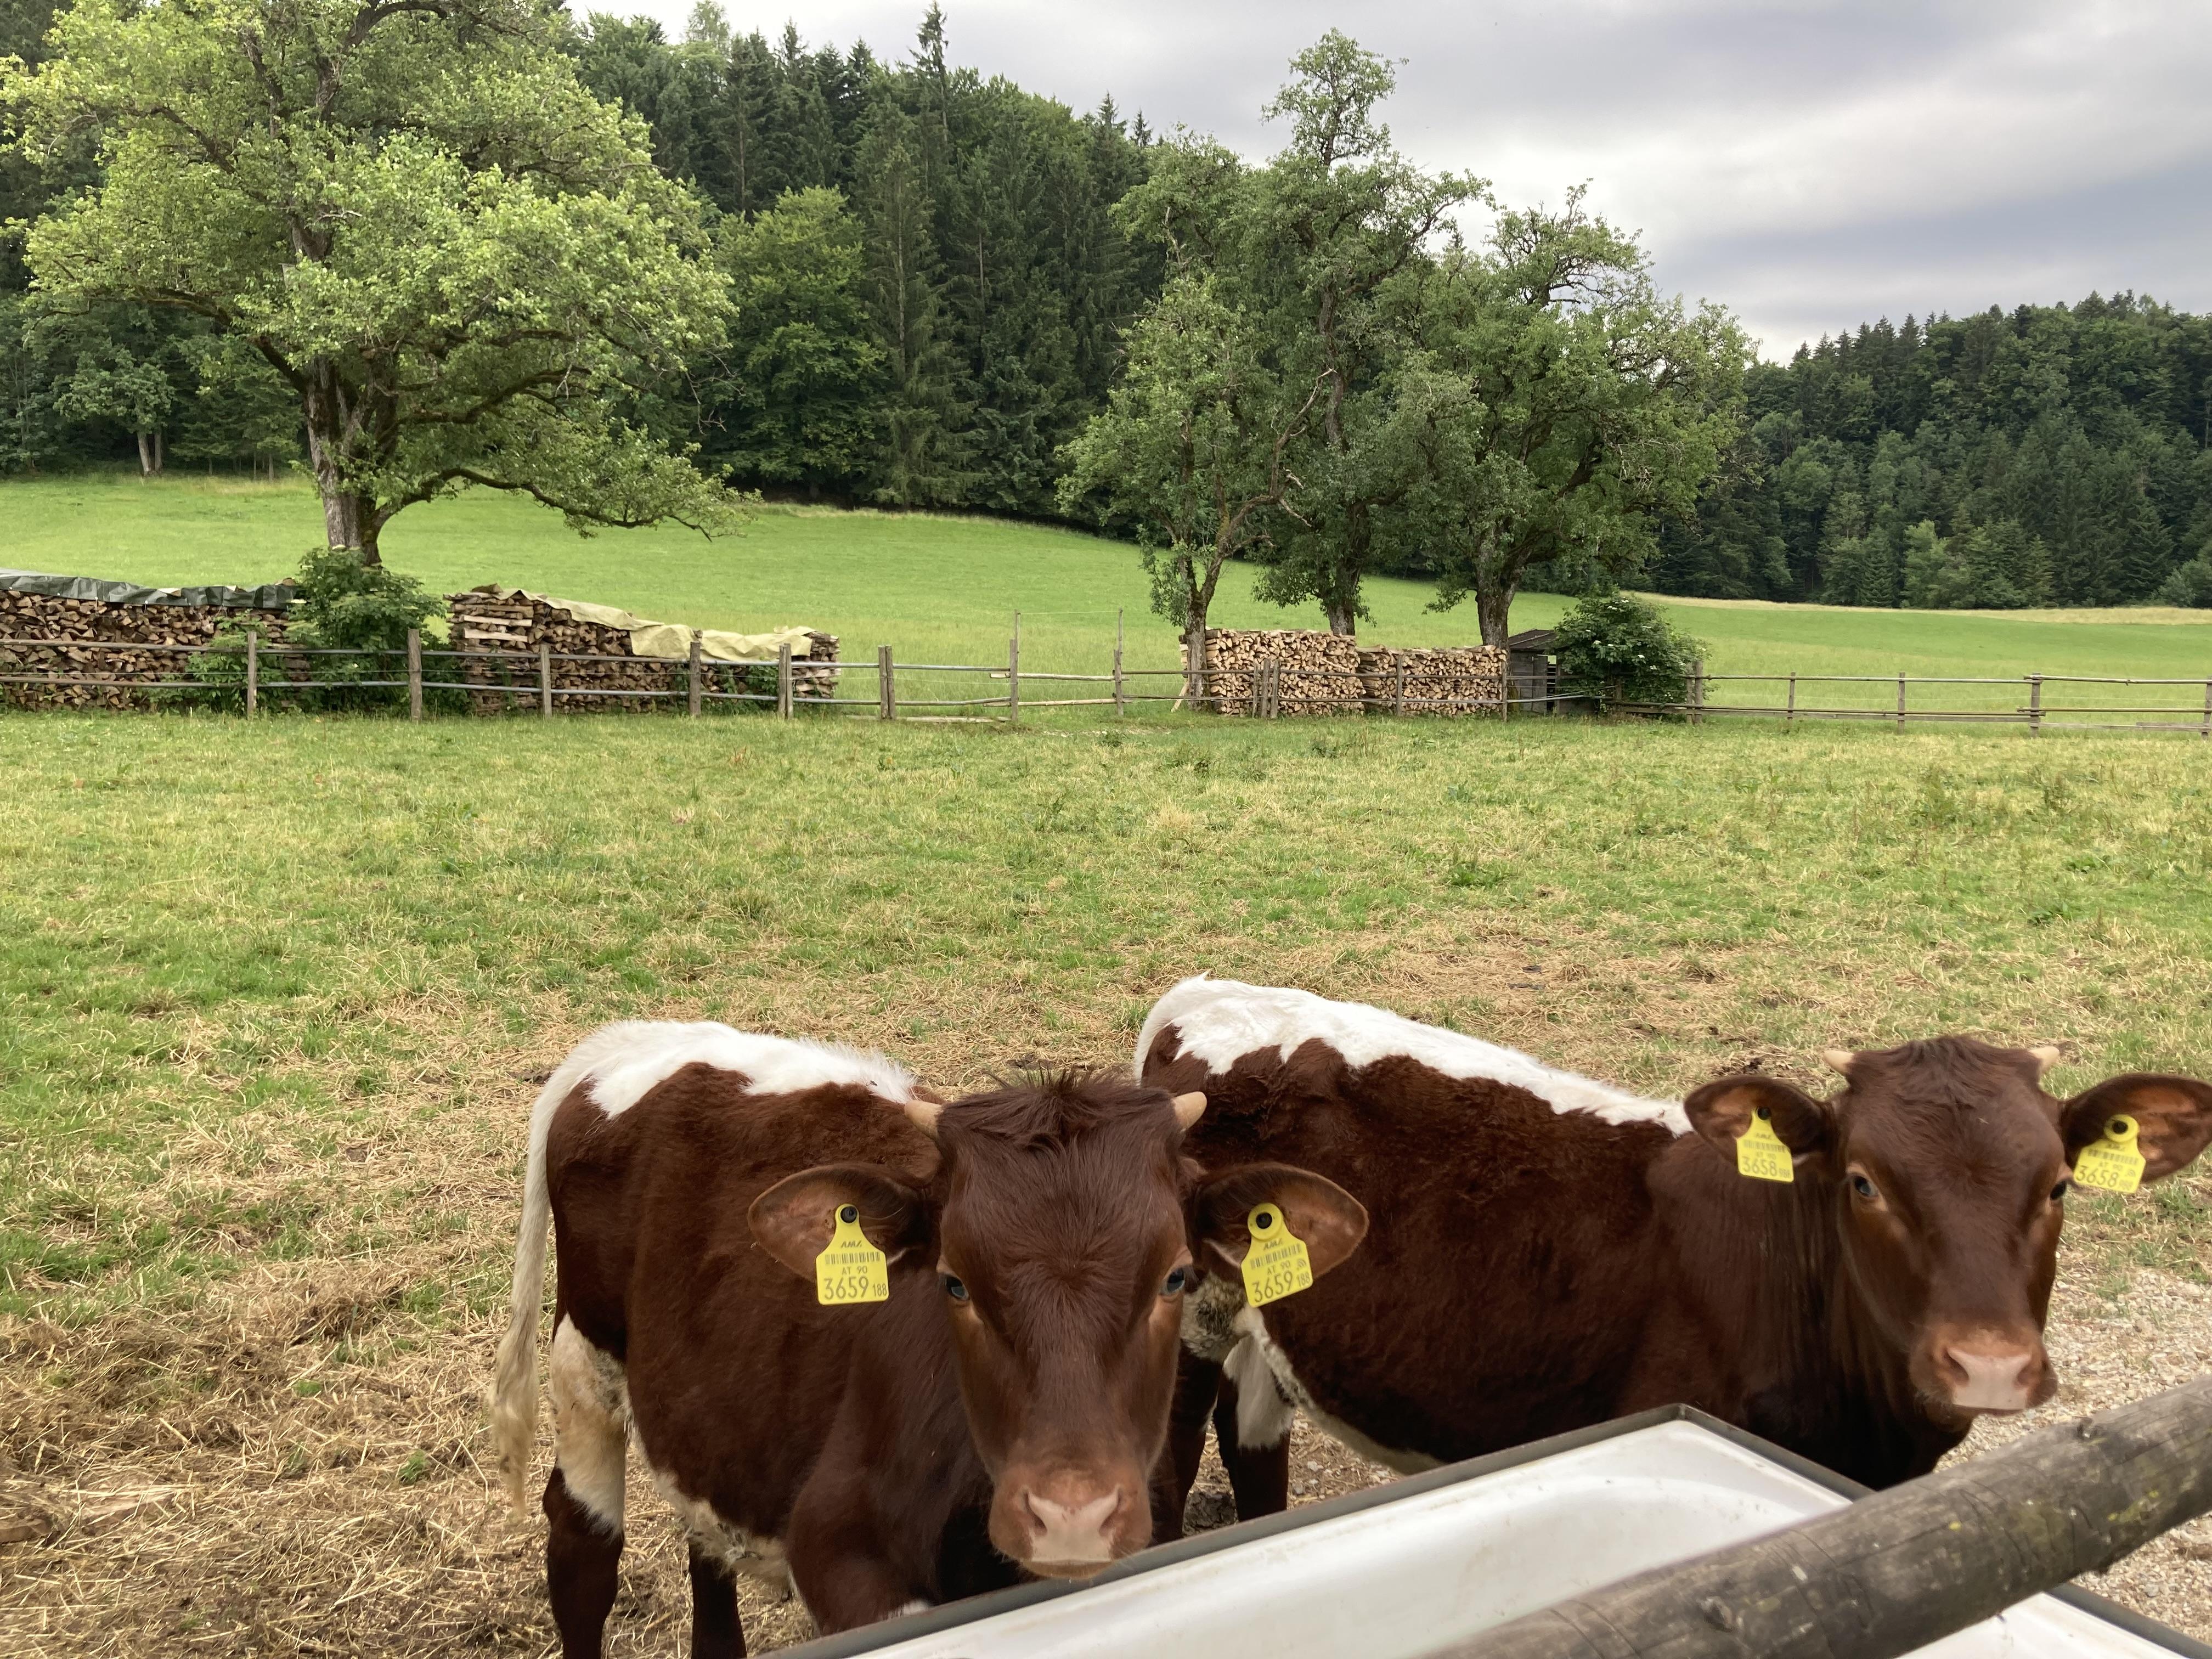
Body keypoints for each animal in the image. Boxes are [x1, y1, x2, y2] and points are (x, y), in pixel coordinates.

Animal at [490, 1020, 1367, 1657]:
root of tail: (631, 1042)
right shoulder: (842, 1550)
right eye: (954, 1281)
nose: (1070, 1515)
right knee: (582, 1547)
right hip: (584, 1358)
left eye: (1176, 1277)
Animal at [1136, 976, 2212, 1521]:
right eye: (1863, 1181)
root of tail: (1206, 989)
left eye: (2059, 1183)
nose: (1986, 1363)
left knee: (1254, 1440)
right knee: (1172, 1462)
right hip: (1188, 1320)